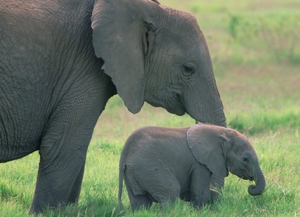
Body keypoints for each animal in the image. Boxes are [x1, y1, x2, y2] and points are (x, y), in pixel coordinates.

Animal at [0, 0, 225, 214]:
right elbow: (63, 147)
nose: (212, 201)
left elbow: (75, 152)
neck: (148, 9)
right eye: (188, 69)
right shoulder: (83, 68)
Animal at [118, 124, 266, 210]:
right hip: (148, 167)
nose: (251, 186)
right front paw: (198, 211)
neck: (222, 134)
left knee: (140, 202)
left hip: (134, 172)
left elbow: (193, 192)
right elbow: (199, 191)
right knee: (171, 192)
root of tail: (125, 153)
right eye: (245, 159)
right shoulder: (199, 163)